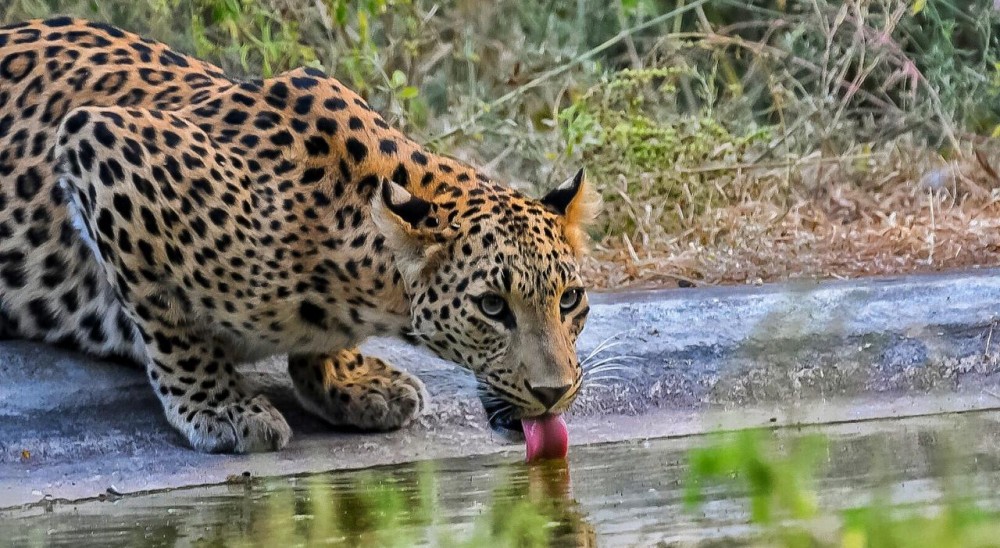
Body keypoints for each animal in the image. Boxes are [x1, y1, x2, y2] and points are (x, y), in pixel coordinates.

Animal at [0, 17, 596, 454]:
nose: (554, 393)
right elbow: (167, 315)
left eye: (569, 300)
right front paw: (221, 407)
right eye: (492, 307)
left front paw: (349, 379)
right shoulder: (100, 141)